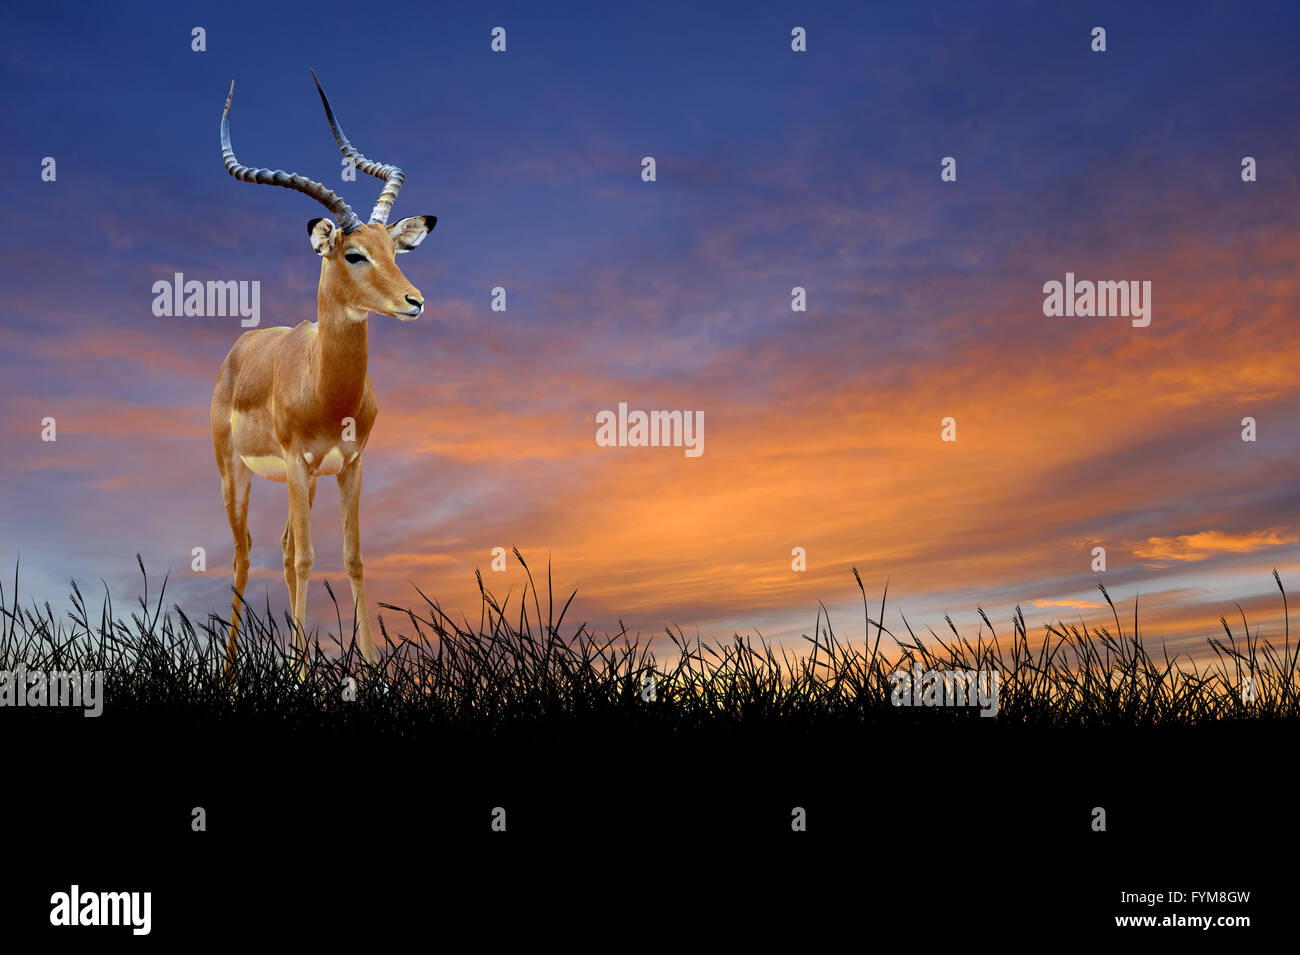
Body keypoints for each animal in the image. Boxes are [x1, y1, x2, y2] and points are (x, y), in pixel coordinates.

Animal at [211, 71, 436, 678]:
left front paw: (368, 670)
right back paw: (232, 674)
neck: (328, 391)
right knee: (245, 553)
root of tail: (239, 348)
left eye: (393, 249)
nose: (414, 301)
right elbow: (309, 558)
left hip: (306, 481)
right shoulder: (295, 462)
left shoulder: (350, 465)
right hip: (237, 473)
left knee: (284, 549)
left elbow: (351, 557)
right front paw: (297, 673)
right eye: (353, 253)